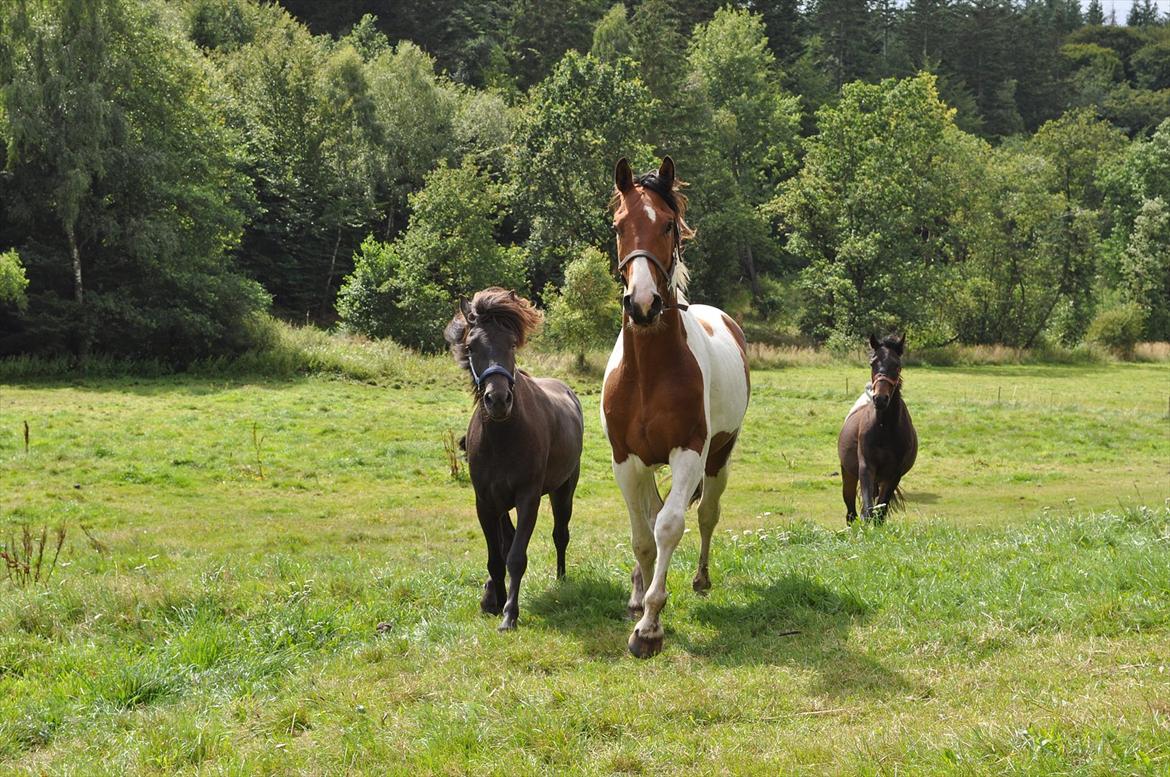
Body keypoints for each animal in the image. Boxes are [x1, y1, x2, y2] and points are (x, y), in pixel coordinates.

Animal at [442, 286, 585, 631]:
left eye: (510, 344)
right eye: (471, 346)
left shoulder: (527, 498)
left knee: (560, 535)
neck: (503, 437)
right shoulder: (485, 502)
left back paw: (561, 578)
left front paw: (510, 613)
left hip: (563, 491)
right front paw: (494, 600)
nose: (498, 400)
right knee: (507, 540)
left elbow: (516, 557)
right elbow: (496, 558)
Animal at [599, 156, 753, 655]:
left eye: (668, 224)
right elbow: (643, 536)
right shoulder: (626, 461)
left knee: (705, 516)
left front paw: (650, 626)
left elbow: (668, 527)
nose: (643, 303)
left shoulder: (688, 454)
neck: (650, 372)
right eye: (618, 225)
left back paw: (701, 579)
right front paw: (640, 601)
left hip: (718, 458)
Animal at [837, 334, 917, 524]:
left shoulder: (894, 475)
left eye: (897, 365)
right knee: (851, 513)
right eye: (872, 363)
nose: (880, 398)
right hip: (849, 475)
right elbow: (868, 510)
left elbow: (880, 513)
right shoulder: (866, 468)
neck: (884, 428)